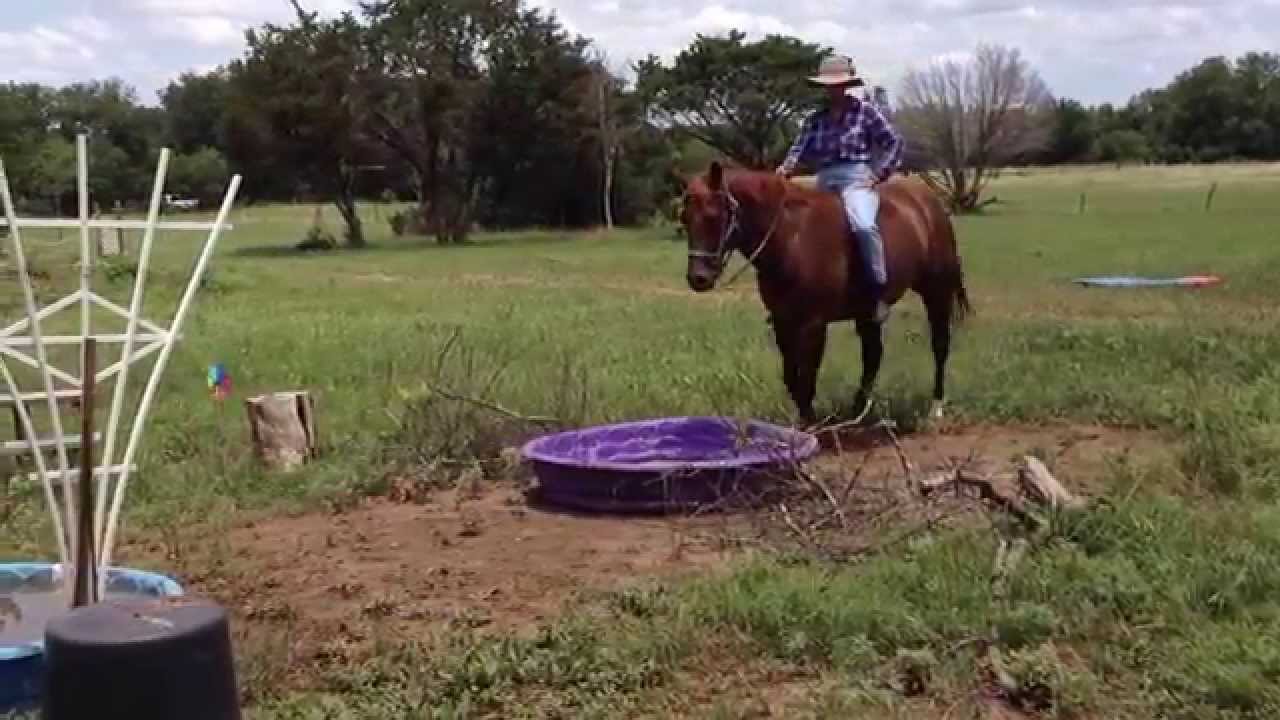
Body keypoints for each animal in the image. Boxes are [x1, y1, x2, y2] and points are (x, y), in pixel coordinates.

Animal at [680, 161, 971, 426]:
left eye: (713, 216)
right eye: (685, 219)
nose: (698, 278)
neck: (792, 238)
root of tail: (930, 203)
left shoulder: (813, 325)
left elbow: (807, 378)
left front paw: (811, 426)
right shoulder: (784, 322)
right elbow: (792, 378)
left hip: (936, 292)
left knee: (939, 346)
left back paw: (936, 407)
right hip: (868, 313)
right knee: (872, 356)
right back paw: (858, 411)